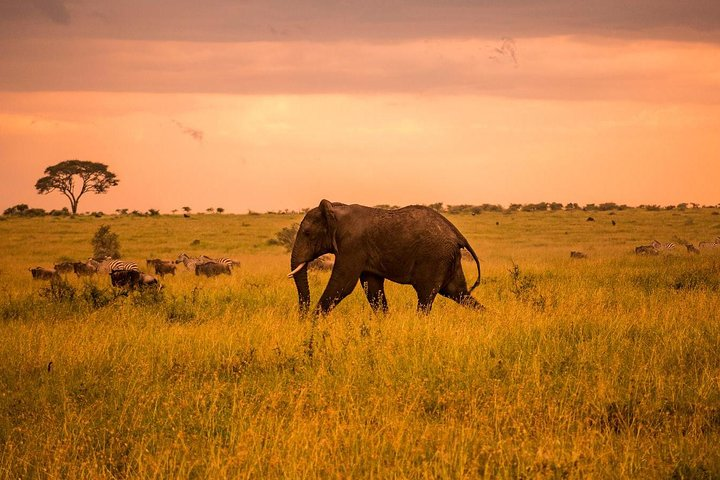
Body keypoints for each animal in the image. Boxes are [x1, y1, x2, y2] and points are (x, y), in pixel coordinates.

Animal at [286, 199, 484, 316]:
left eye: (307, 233)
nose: (301, 316)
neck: (335, 209)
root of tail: (457, 235)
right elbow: (372, 288)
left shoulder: (352, 245)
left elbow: (342, 285)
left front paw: (312, 324)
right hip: (448, 259)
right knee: (459, 293)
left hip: (434, 258)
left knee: (426, 297)